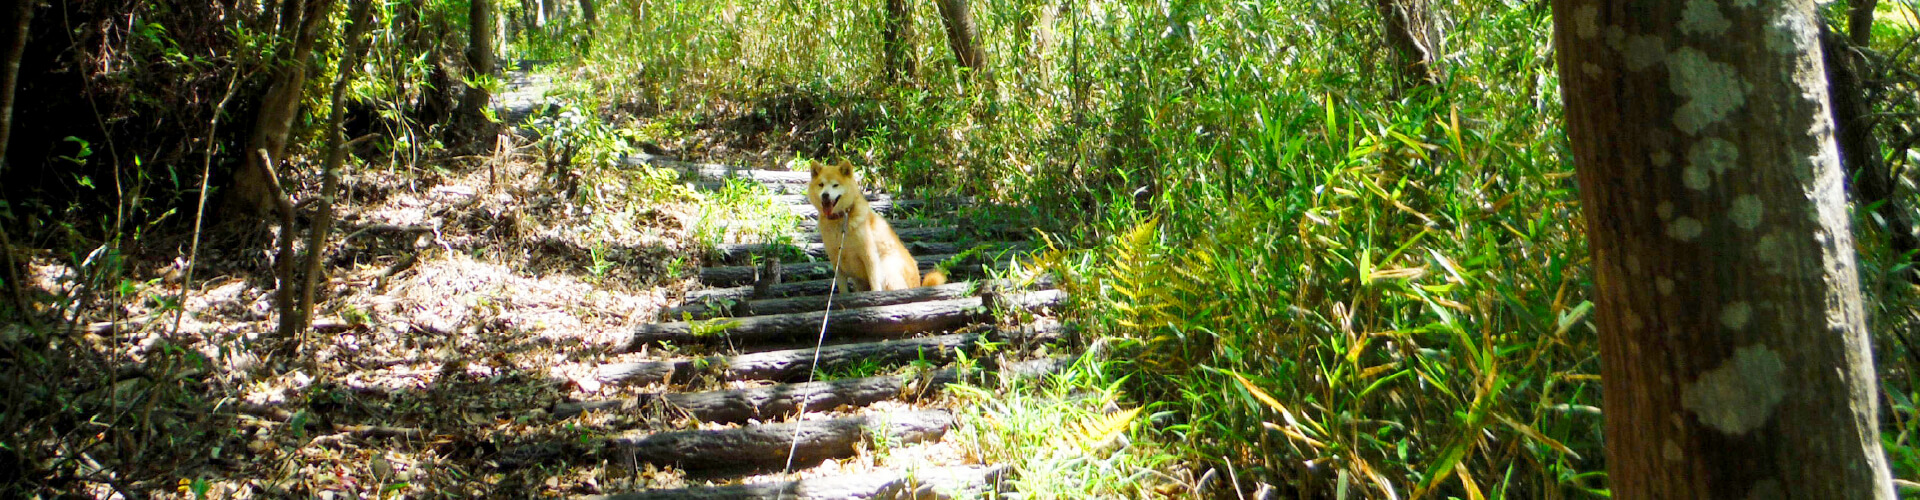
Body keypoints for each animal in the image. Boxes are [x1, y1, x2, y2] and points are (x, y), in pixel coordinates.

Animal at [806, 160, 948, 292]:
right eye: (821, 185)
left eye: (835, 185)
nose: (825, 195)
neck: (840, 220)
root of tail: (917, 284)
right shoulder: (837, 261)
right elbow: (843, 289)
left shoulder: (869, 256)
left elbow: (875, 284)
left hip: (887, 267)